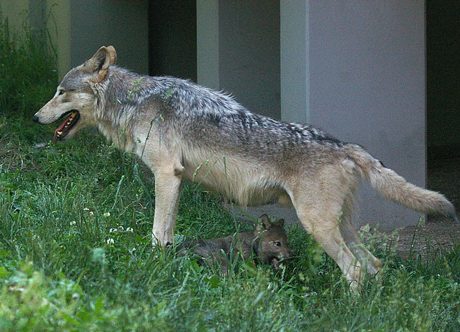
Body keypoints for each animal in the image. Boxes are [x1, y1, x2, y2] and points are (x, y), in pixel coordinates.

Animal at [32, 46, 456, 290]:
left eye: (60, 92)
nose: (35, 117)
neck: (136, 101)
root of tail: (346, 145)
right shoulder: (175, 180)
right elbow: (167, 234)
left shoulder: (166, 175)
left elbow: (156, 233)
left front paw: (153, 269)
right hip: (341, 226)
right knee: (375, 266)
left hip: (318, 226)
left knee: (354, 270)